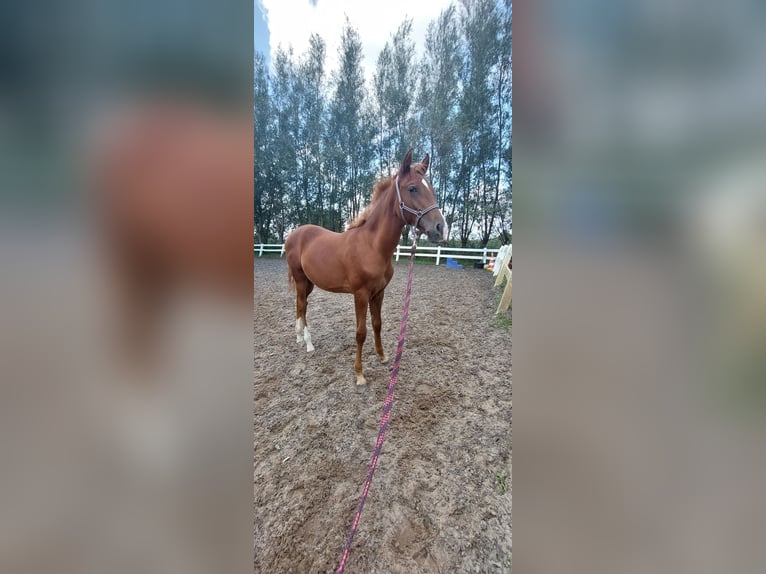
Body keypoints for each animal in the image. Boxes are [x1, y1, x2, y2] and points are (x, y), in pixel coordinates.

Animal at [284, 150, 448, 388]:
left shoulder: (379, 292)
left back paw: (299, 338)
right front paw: (359, 374)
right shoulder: (360, 294)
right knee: (302, 305)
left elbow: (377, 324)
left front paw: (382, 356)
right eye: (412, 188)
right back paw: (308, 343)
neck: (372, 246)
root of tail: (294, 234)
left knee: (300, 305)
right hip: (300, 278)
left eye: (431, 188)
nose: (440, 228)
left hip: (309, 282)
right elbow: (361, 332)